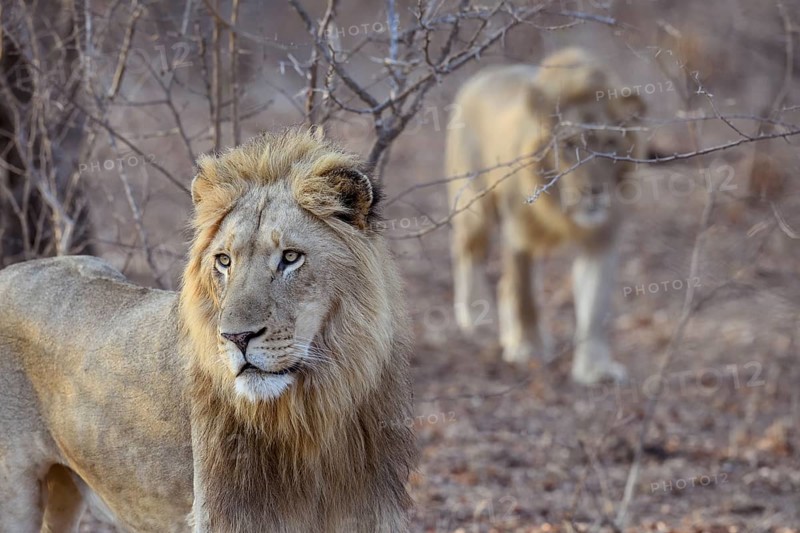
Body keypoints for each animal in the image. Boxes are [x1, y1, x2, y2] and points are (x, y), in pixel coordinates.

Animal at [0, 127, 416, 532]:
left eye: (291, 257)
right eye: (224, 261)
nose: (236, 338)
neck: (312, 417)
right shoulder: (224, 514)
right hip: (16, 495)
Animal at [446, 47, 646, 384]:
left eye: (609, 144)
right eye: (567, 145)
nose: (594, 192)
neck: (562, 210)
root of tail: (480, 76)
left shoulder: (602, 239)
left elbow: (595, 308)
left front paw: (595, 368)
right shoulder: (519, 234)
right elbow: (525, 296)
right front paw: (529, 348)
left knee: (504, 284)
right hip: (475, 206)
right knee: (467, 252)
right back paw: (475, 314)